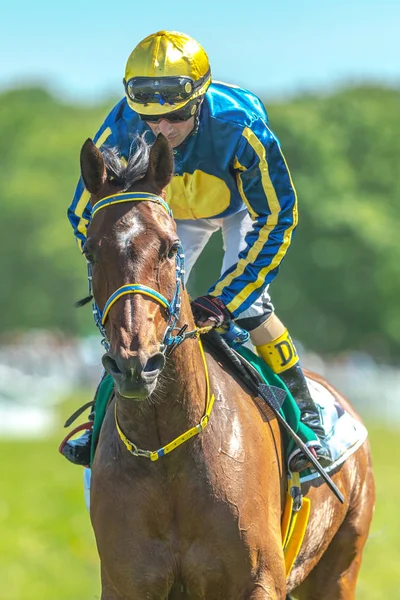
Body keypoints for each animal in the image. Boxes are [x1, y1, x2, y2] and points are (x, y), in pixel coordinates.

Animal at [80, 134, 376, 596]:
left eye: (171, 248)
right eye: (91, 251)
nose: (136, 363)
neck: (165, 447)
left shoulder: (259, 580)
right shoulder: (126, 584)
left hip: (340, 566)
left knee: (256, 307)